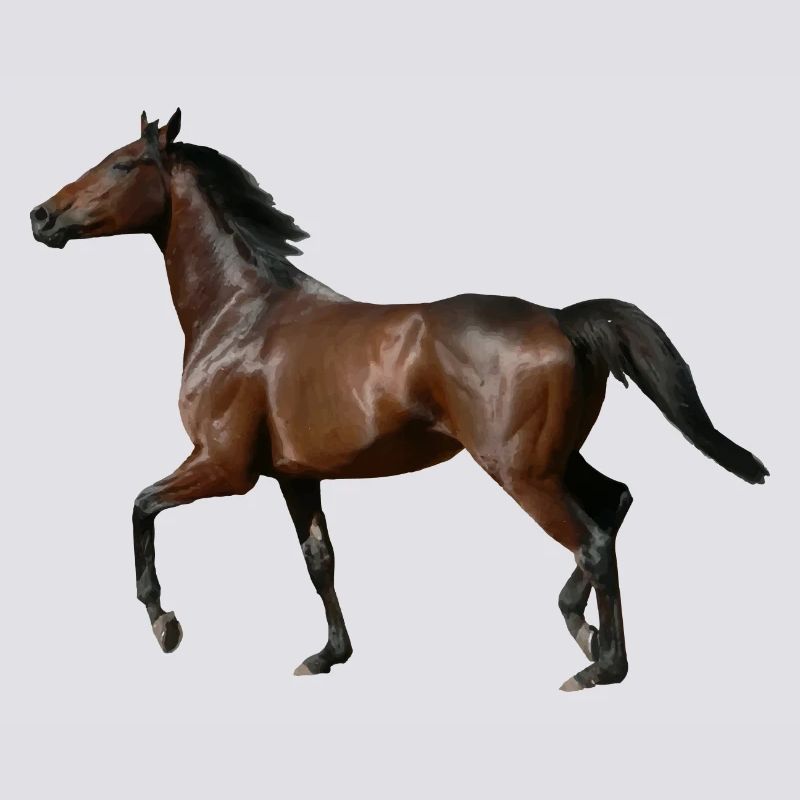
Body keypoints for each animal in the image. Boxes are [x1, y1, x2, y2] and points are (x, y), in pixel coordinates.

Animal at [30, 109, 768, 691]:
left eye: (123, 164)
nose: (41, 216)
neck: (241, 315)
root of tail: (563, 319)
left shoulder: (223, 467)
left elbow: (140, 506)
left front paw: (165, 623)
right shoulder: (295, 477)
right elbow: (320, 561)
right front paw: (328, 655)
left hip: (522, 472)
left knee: (591, 541)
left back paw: (598, 664)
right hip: (557, 460)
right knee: (615, 503)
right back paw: (584, 631)